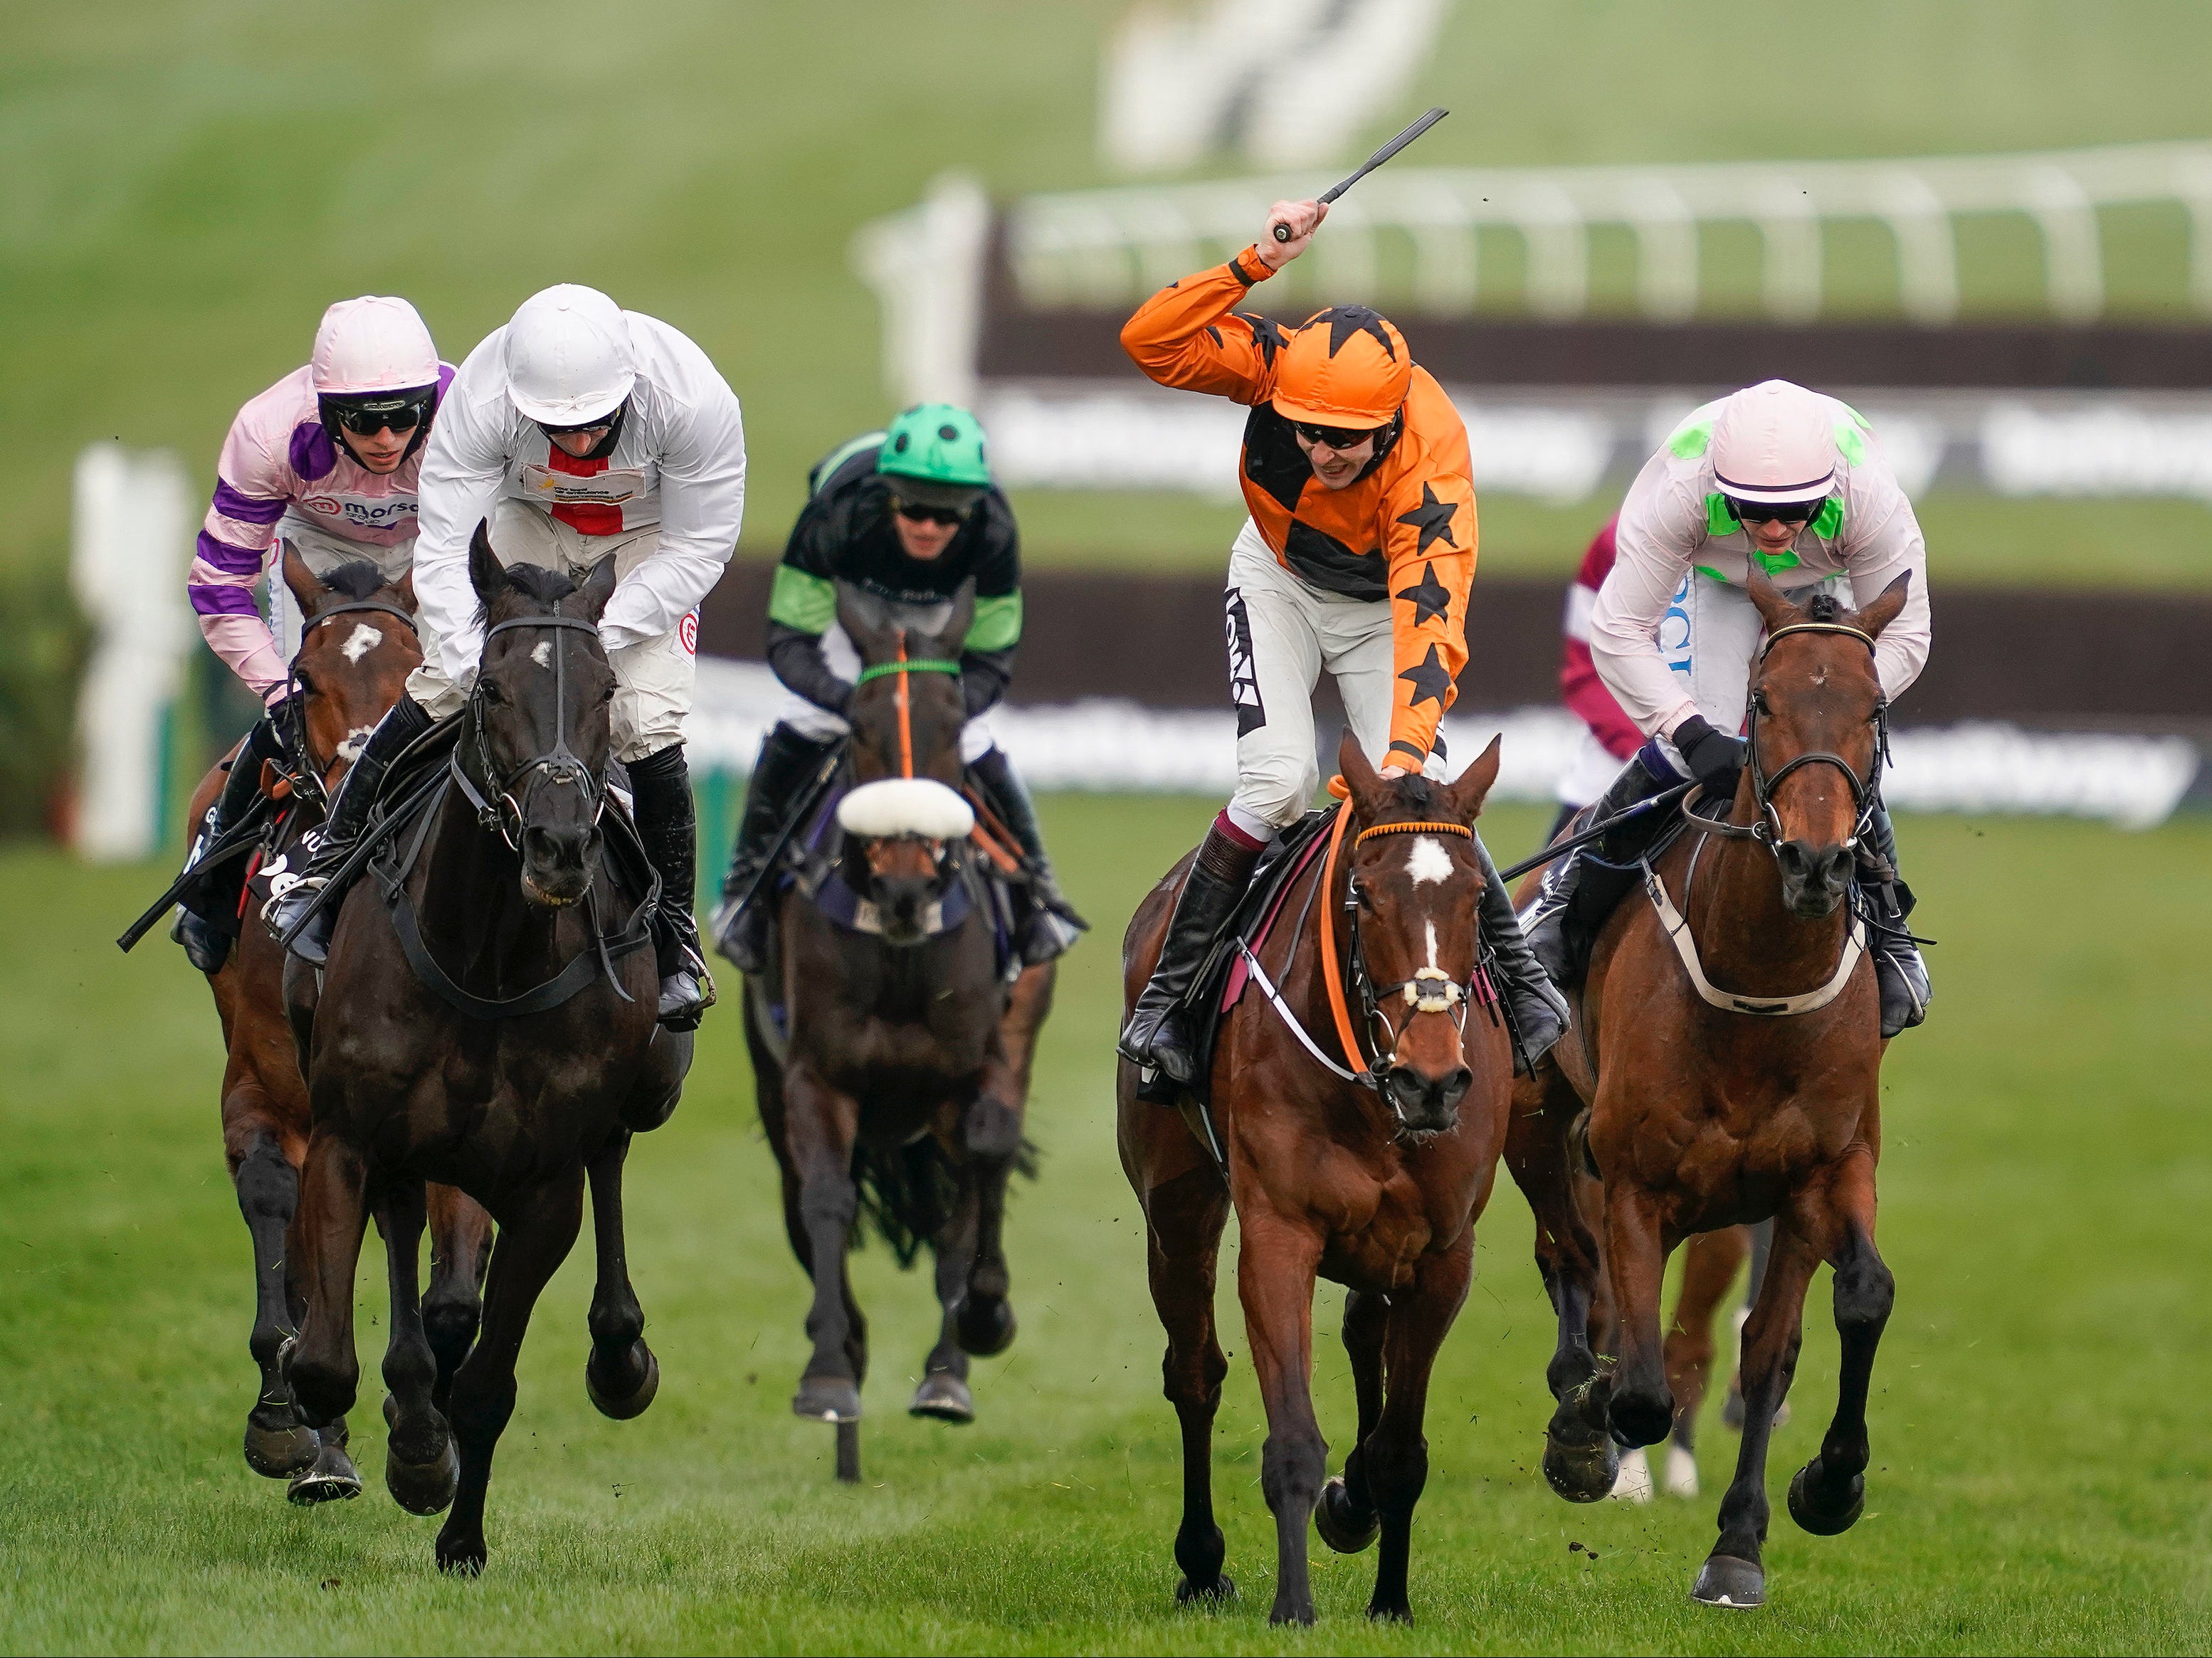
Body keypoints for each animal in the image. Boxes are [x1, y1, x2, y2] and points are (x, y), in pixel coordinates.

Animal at [132, 554, 493, 1503]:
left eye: (415, 665)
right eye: (307, 680)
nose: (366, 772)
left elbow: (449, 1290)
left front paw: (425, 1425)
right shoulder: (265, 1089)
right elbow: (280, 1220)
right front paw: (284, 1418)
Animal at [280, 528, 685, 1573]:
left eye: (605, 689)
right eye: (493, 687)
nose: (558, 845)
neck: (486, 958)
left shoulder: (543, 1189)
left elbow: (490, 1384)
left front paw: (460, 1534)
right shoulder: (344, 1136)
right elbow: (332, 1363)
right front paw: (404, 1442)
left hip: (642, 1086)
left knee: (611, 1159)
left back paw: (619, 1354)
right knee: (401, 1237)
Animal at [743, 592, 1053, 1485]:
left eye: (953, 723)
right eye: (862, 725)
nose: (907, 883)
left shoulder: (969, 1075)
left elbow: (973, 1191)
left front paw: (956, 1360)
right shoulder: (816, 1077)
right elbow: (826, 1202)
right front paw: (828, 1375)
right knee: (804, 1209)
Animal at [1123, 734, 1522, 1627]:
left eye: (1478, 894)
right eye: (1363, 896)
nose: (1433, 1082)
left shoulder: (1444, 1253)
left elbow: (1400, 1447)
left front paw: (1391, 1598)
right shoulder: (1281, 1233)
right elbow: (1294, 1437)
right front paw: (1294, 1604)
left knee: (1365, 1333)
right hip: (1176, 1206)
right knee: (1194, 1371)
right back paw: (1202, 1561)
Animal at [1512, 570, 1911, 1609]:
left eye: (1876, 706)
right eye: (1762, 703)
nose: (1817, 859)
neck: (1758, 986)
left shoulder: (1823, 1169)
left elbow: (1832, 1315)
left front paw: (1803, 1501)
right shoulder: (1636, 1177)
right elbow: (1639, 1375)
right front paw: (1592, 1436)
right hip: (1537, 1126)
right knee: (1573, 1264)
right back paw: (1583, 1413)